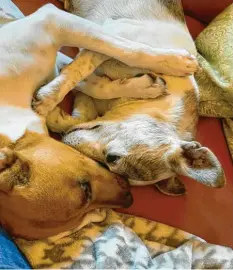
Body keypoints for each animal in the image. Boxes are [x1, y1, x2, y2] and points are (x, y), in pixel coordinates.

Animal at [33, 0, 225, 196]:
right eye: (113, 158)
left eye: (108, 163)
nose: (63, 141)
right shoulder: (114, 31)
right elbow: (130, 54)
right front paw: (51, 95)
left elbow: (88, 97)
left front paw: (57, 113)